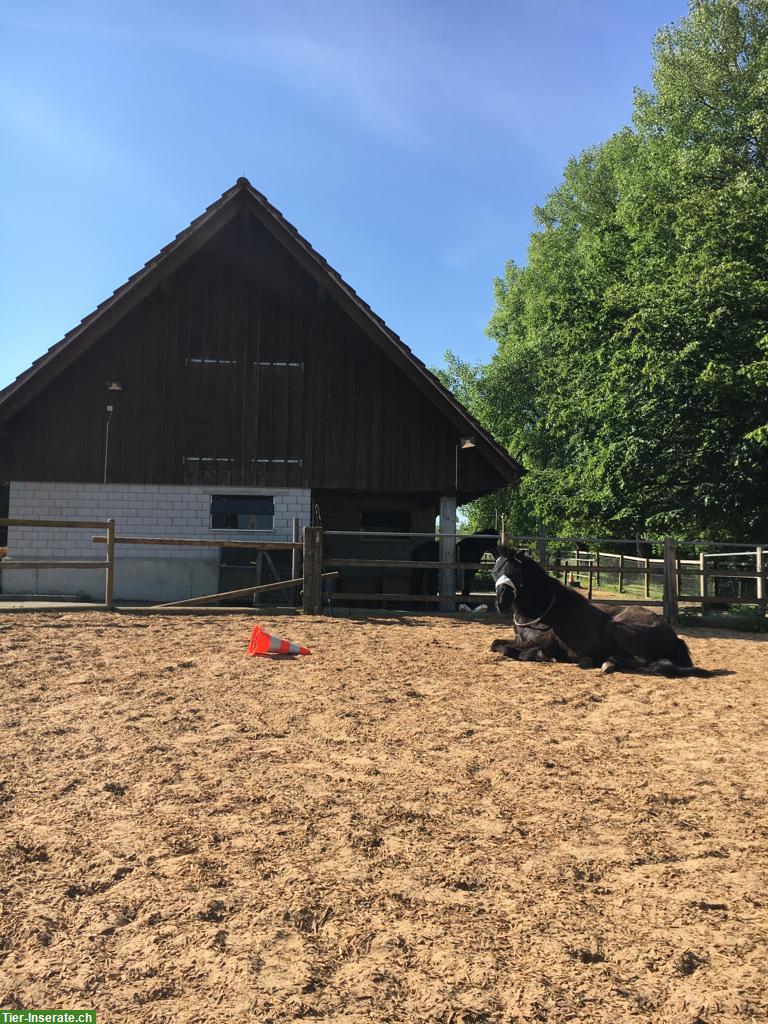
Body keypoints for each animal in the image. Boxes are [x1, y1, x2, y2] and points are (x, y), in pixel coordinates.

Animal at [493, 544, 720, 679]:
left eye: (517, 571)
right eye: (495, 570)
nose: (502, 601)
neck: (542, 611)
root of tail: (673, 635)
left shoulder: (542, 643)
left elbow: (511, 650)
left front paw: (538, 655)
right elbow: (495, 644)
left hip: (620, 628)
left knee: (644, 661)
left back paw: (607, 662)